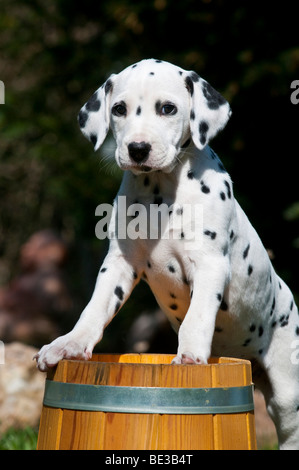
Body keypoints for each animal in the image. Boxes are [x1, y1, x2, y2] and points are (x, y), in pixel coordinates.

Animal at [36, 58, 299, 448]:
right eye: (119, 109)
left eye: (168, 109)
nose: (138, 149)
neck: (160, 189)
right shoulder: (119, 264)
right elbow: (94, 309)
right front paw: (68, 344)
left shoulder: (210, 264)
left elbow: (197, 319)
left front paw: (189, 359)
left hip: (287, 388)